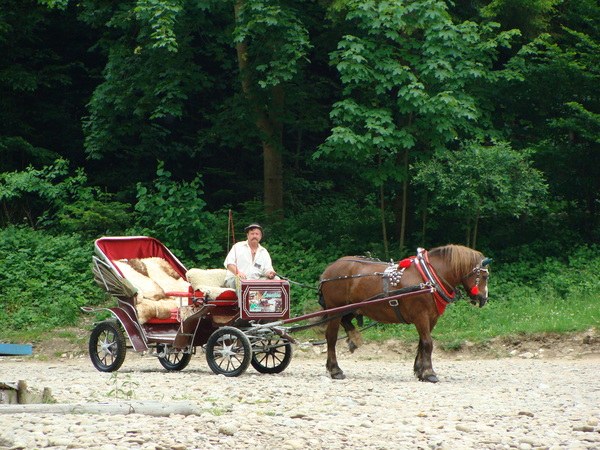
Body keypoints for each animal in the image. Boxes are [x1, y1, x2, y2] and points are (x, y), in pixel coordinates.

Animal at [316, 244, 490, 382]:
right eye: (484, 276)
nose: (483, 299)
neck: (428, 278)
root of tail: (329, 270)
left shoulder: (431, 318)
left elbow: (422, 343)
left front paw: (420, 371)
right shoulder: (421, 316)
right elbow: (428, 343)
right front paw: (429, 373)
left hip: (353, 307)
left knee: (345, 321)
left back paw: (353, 339)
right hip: (336, 308)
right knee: (331, 337)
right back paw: (335, 369)